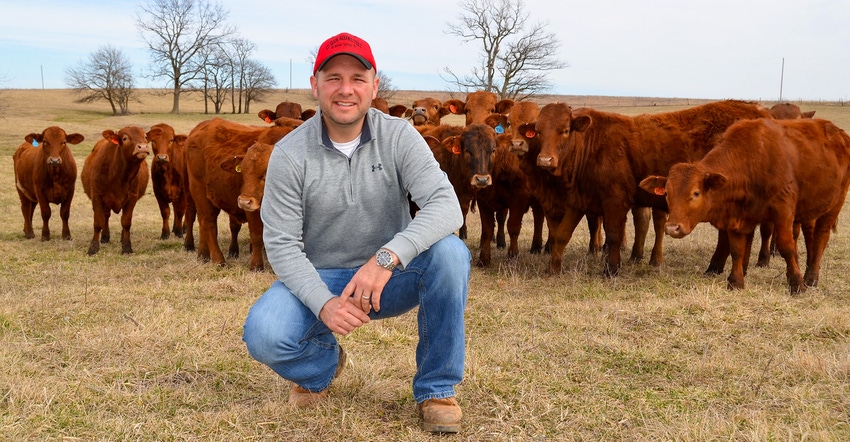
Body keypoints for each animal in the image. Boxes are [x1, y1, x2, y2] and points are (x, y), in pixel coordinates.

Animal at [80, 126, 150, 254]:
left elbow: (126, 222)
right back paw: (104, 237)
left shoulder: (132, 198)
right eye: (125, 138)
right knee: (106, 216)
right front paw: (93, 248)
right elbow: (98, 222)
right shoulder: (97, 196)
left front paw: (126, 247)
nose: (143, 147)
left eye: (145, 136)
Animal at [183, 115, 302, 272]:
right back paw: (218, 260)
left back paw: (203, 255)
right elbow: (257, 236)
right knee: (208, 224)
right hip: (200, 192)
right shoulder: (254, 211)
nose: (244, 201)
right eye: (243, 172)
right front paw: (256, 266)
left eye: (268, 173)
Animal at [532, 99, 772, 276]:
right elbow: (561, 235)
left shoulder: (614, 201)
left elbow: (613, 236)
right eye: (539, 131)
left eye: (565, 130)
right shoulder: (579, 200)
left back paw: (717, 267)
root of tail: (760, 112)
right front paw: (552, 269)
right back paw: (719, 268)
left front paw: (611, 270)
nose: (545, 160)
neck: (591, 143)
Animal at [644, 117, 848, 294]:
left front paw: (797, 284)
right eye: (667, 193)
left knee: (821, 237)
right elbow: (737, 250)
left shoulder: (783, 212)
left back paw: (811, 277)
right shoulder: (736, 218)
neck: (752, 161)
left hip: (834, 205)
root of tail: (837, 132)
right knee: (809, 235)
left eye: (695, 193)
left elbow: (786, 247)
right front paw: (736, 281)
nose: (672, 228)